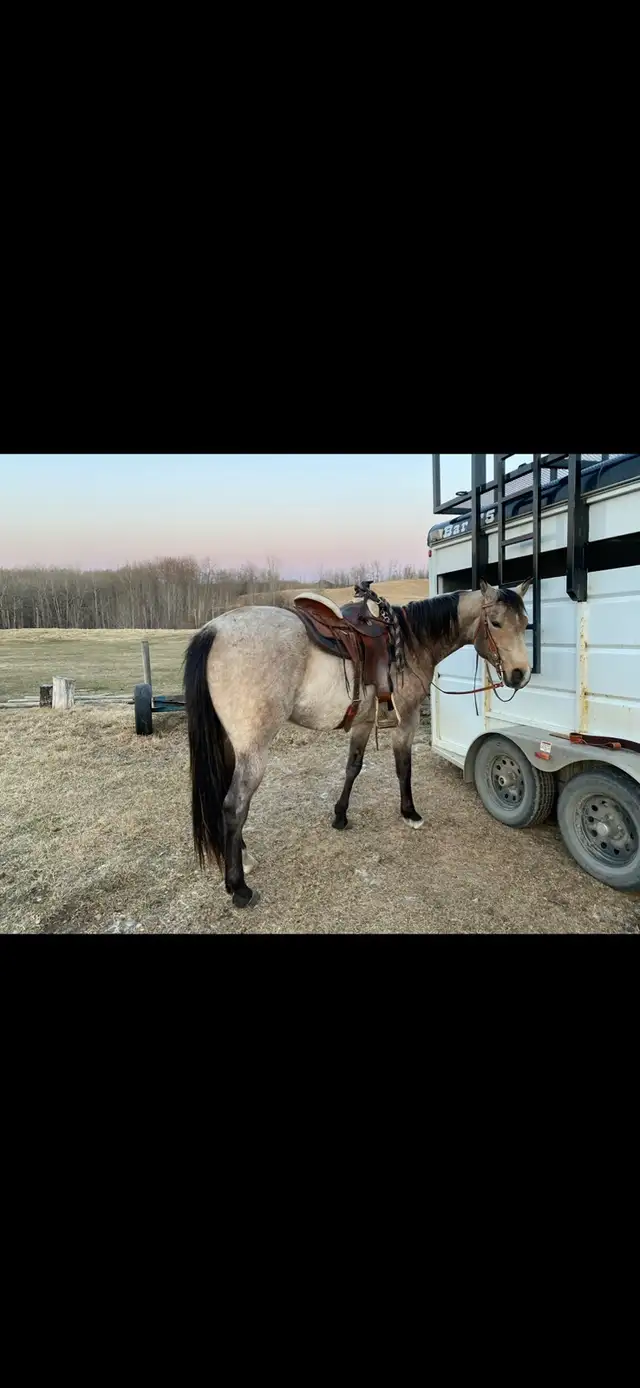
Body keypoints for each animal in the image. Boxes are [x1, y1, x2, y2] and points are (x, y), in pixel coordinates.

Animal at [184, 578, 532, 908]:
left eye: (525, 623)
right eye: (496, 623)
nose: (520, 674)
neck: (408, 643)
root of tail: (214, 629)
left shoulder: (363, 722)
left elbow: (353, 767)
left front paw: (340, 815)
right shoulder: (406, 720)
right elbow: (403, 767)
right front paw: (410, 813)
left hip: (230, 746)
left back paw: (244, 857)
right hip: (253, 751)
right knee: (234, 806)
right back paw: (239, 887)